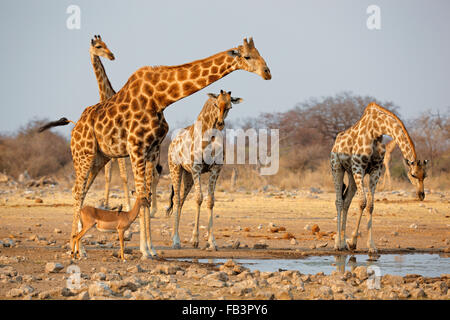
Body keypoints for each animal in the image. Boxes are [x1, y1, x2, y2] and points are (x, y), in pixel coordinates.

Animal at [165, 90, 243, 250]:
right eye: (215, 104)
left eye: (230, 106)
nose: (220, 124)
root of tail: (172, 143)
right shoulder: (197, 168)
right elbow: (199, 198)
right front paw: (195, 239)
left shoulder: (215, 169)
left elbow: (210, 200)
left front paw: (212, 242)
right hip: (175, 168)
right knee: (176, 199)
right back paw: (176, 240)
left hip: (187, 175)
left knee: (181, 200)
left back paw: (176, 237)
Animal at [330, 102, 428, 252]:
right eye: (413, 175)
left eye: (426, 175)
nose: (421, 195)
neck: (377, 129)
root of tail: (336, 141)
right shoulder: (359, 167)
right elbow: (362, 202)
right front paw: (352, 242)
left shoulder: (375, 170)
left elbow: (370, 205)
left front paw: (371, 246)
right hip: (337, 167)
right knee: (339, 201)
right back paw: (337, 244)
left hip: (351, 174)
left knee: (346, 200)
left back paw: (342, 243)